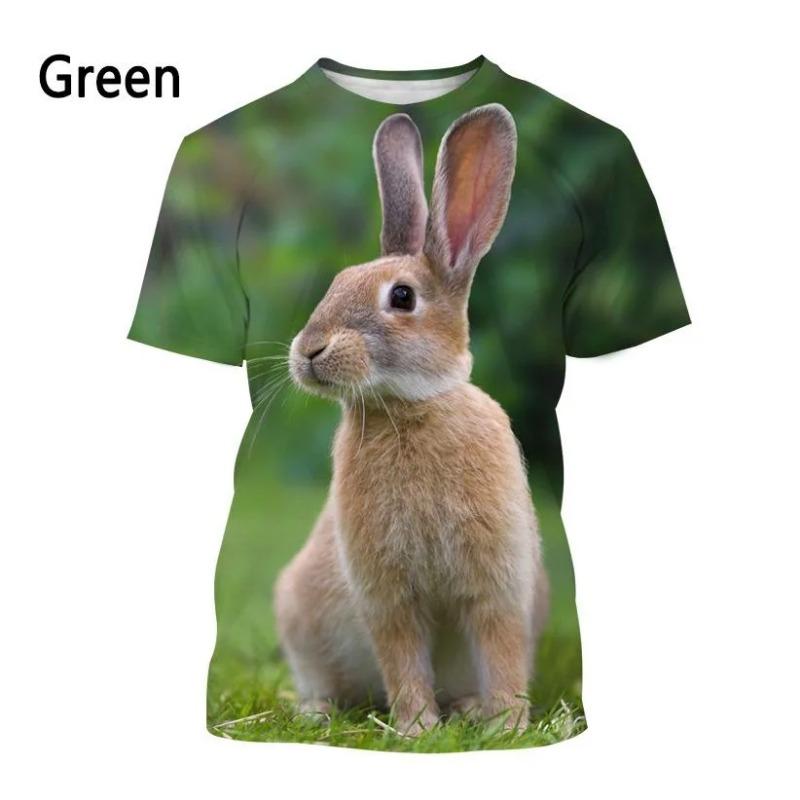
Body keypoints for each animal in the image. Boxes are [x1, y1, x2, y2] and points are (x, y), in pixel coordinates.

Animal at [274, 104, 549, 736]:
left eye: (402, 297)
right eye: (336, 282)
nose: (309, 351)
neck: (410, 407)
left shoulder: (498, 582)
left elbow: (500, 647)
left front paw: (506, 725)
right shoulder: (387, 593)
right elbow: (402, 657)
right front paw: (418, 729)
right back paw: (316, 713)